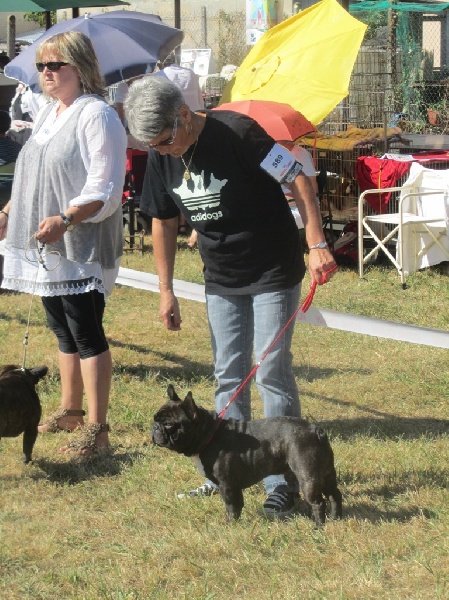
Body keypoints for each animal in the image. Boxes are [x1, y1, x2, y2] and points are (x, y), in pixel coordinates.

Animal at [152, 385, 343, 526]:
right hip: (326, 473)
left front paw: (230, 526)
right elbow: (237, 505)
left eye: (169, 424)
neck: (209, 434)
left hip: (307, 476)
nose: (154, 428)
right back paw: (336, 518)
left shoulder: (228, 485)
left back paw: (318, 527)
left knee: (318, 502)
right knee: (334, 494)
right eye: (155, 419)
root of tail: (316, 431)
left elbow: (232, 507)